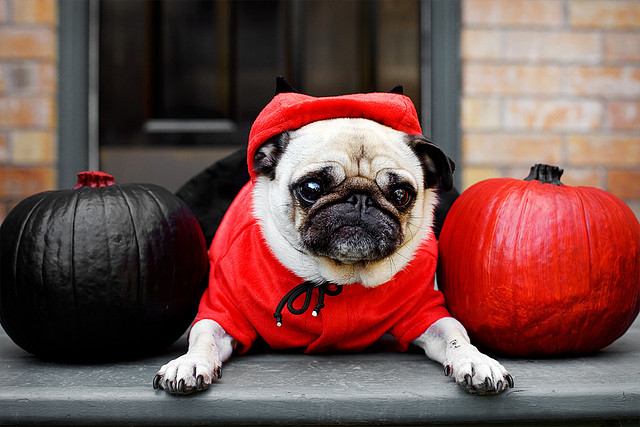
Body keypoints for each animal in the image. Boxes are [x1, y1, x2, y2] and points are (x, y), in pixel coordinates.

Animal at [152, 79, 512, 398]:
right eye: (312, 188)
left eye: (400, 194)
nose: (360, 199)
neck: (336, 275)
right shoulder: (221, 311)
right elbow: (204, 338)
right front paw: (189, 364)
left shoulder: (427, 312)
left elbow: (456, 336)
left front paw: (477, 362)